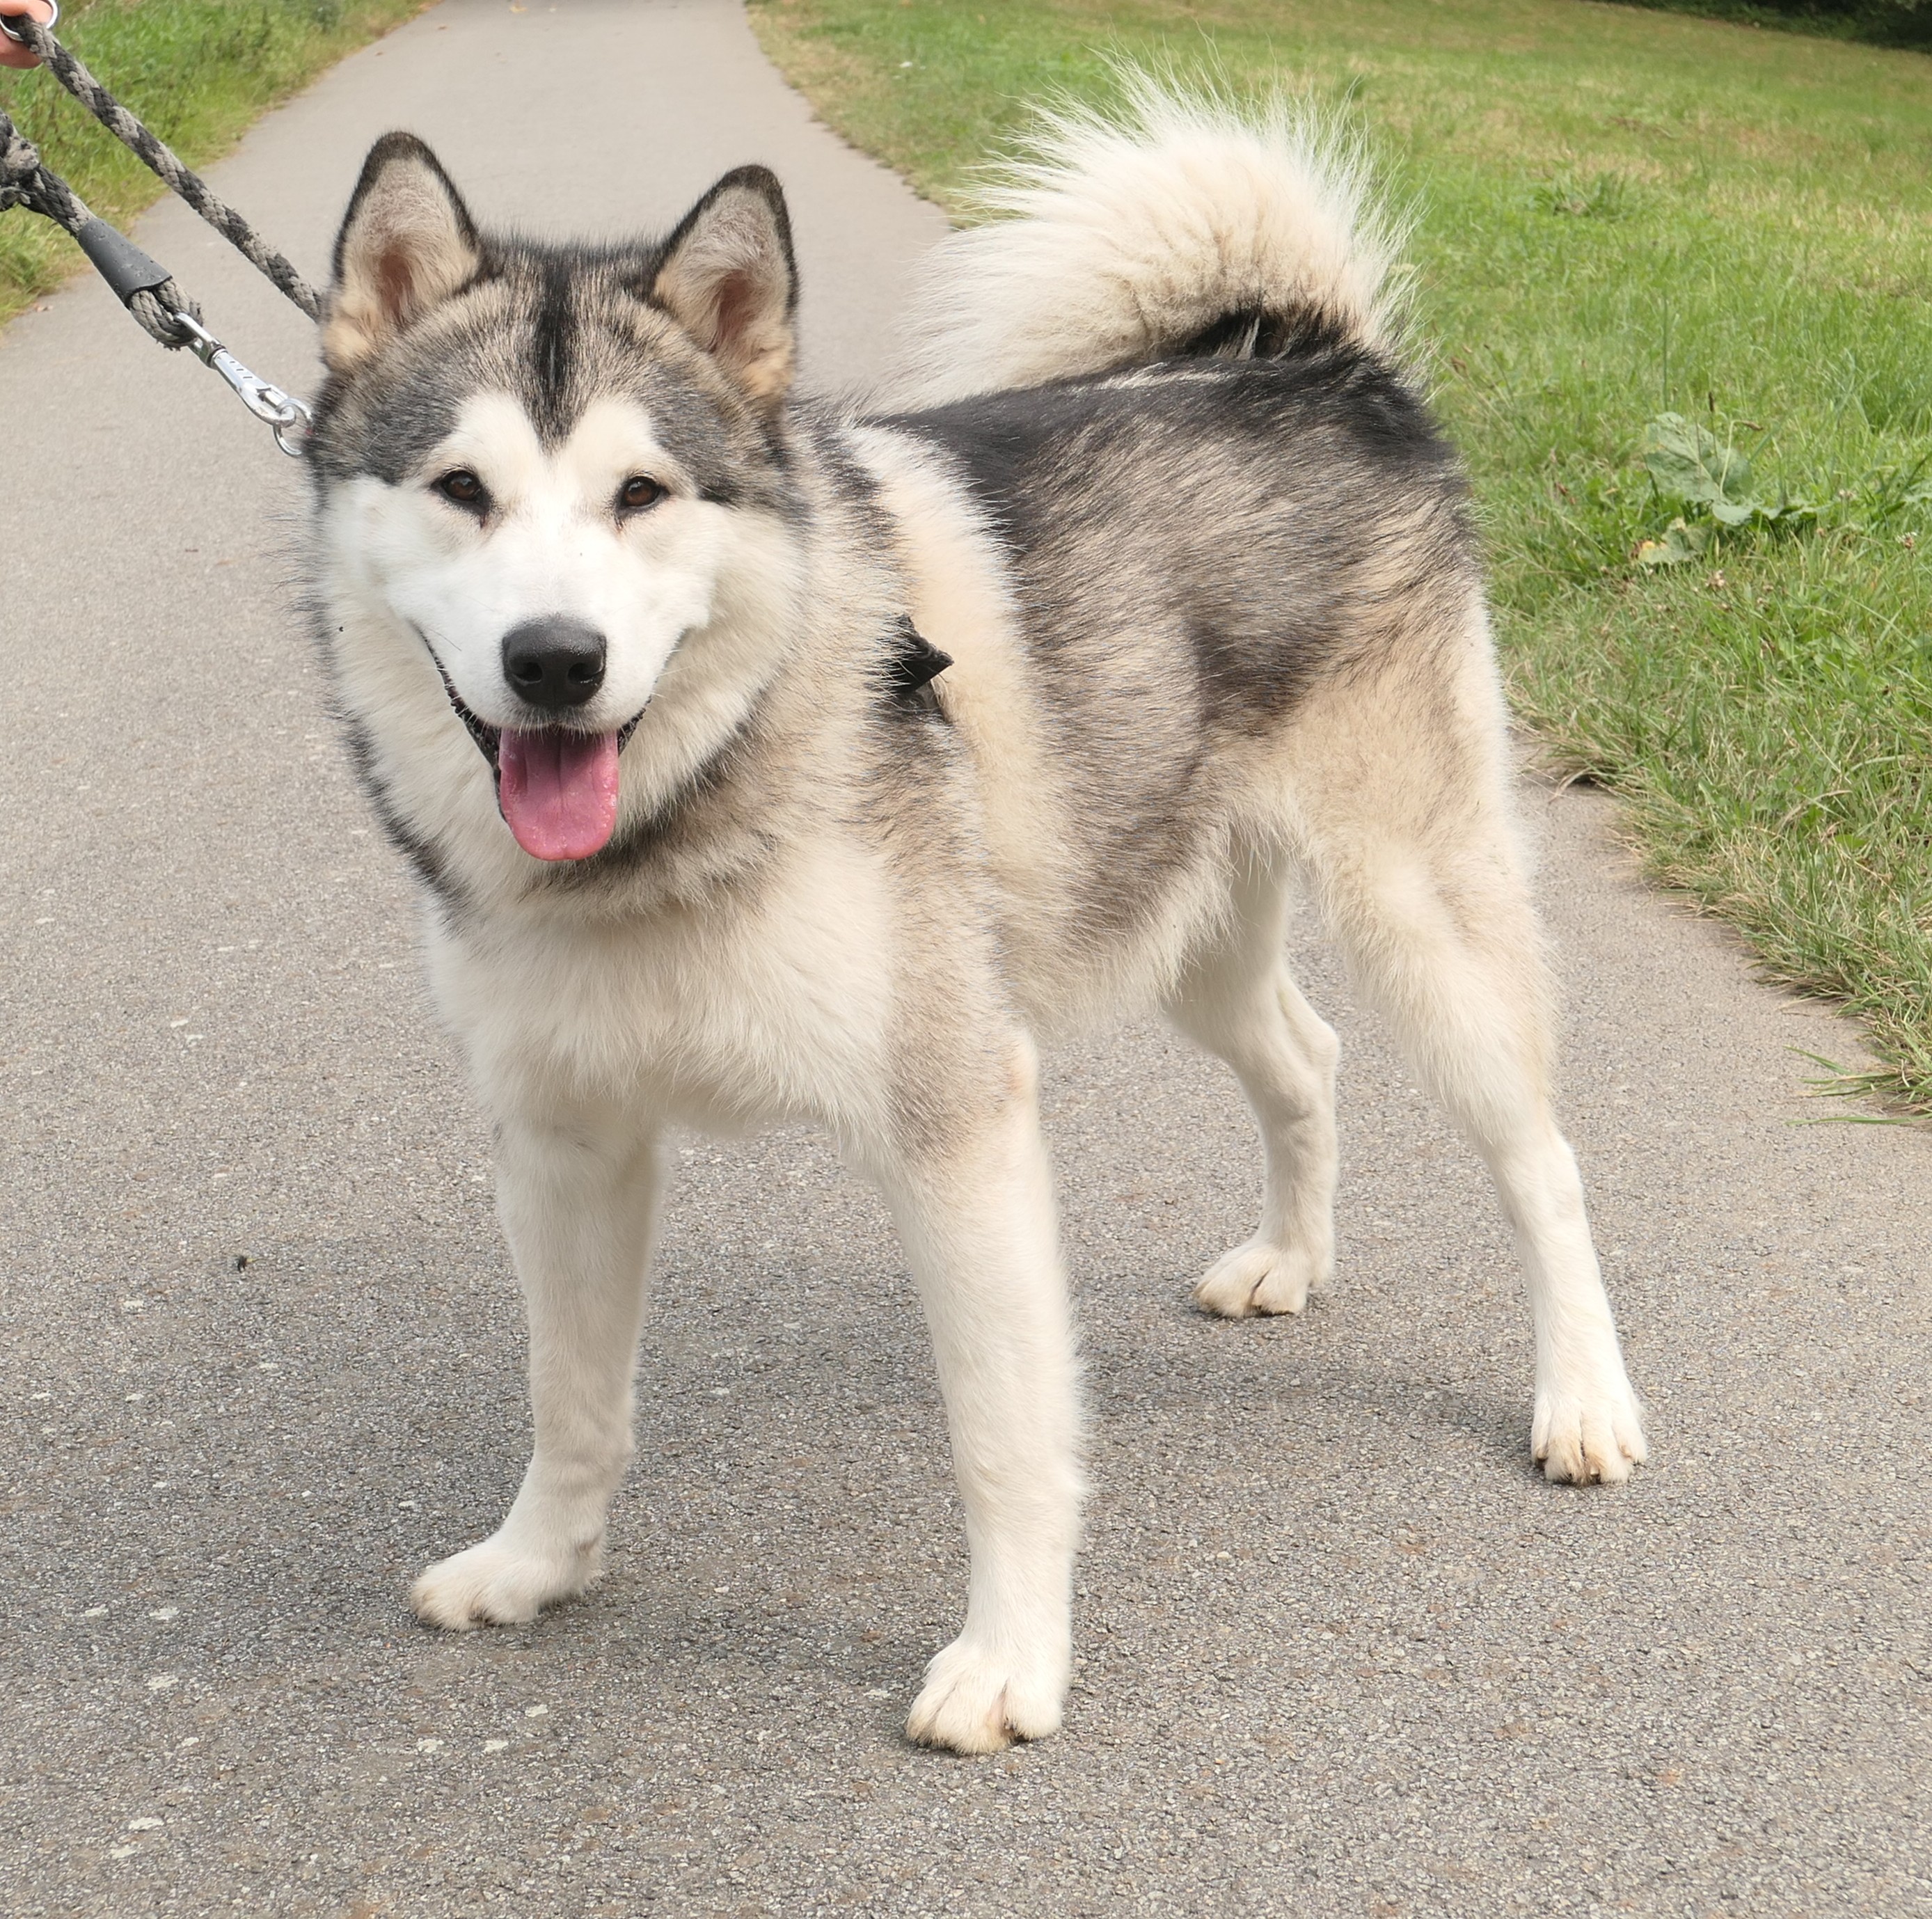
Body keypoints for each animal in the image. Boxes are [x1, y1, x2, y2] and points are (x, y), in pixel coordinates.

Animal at [302, 82, 1646, 1756]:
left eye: (640, 494)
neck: (693, 808)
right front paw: (538, 1563)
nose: (556, 660)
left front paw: (1011, 1659)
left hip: (1422, 919)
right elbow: (572, 1398)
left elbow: (1004, 1435)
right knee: (1304, 1057)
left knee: (1543, 1164)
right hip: (1174, 923)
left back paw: (1583, 1398)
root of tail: (1316, 362)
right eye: (462, 492)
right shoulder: (565, 1141)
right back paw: (1290, 1257)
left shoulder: (955, 1123)